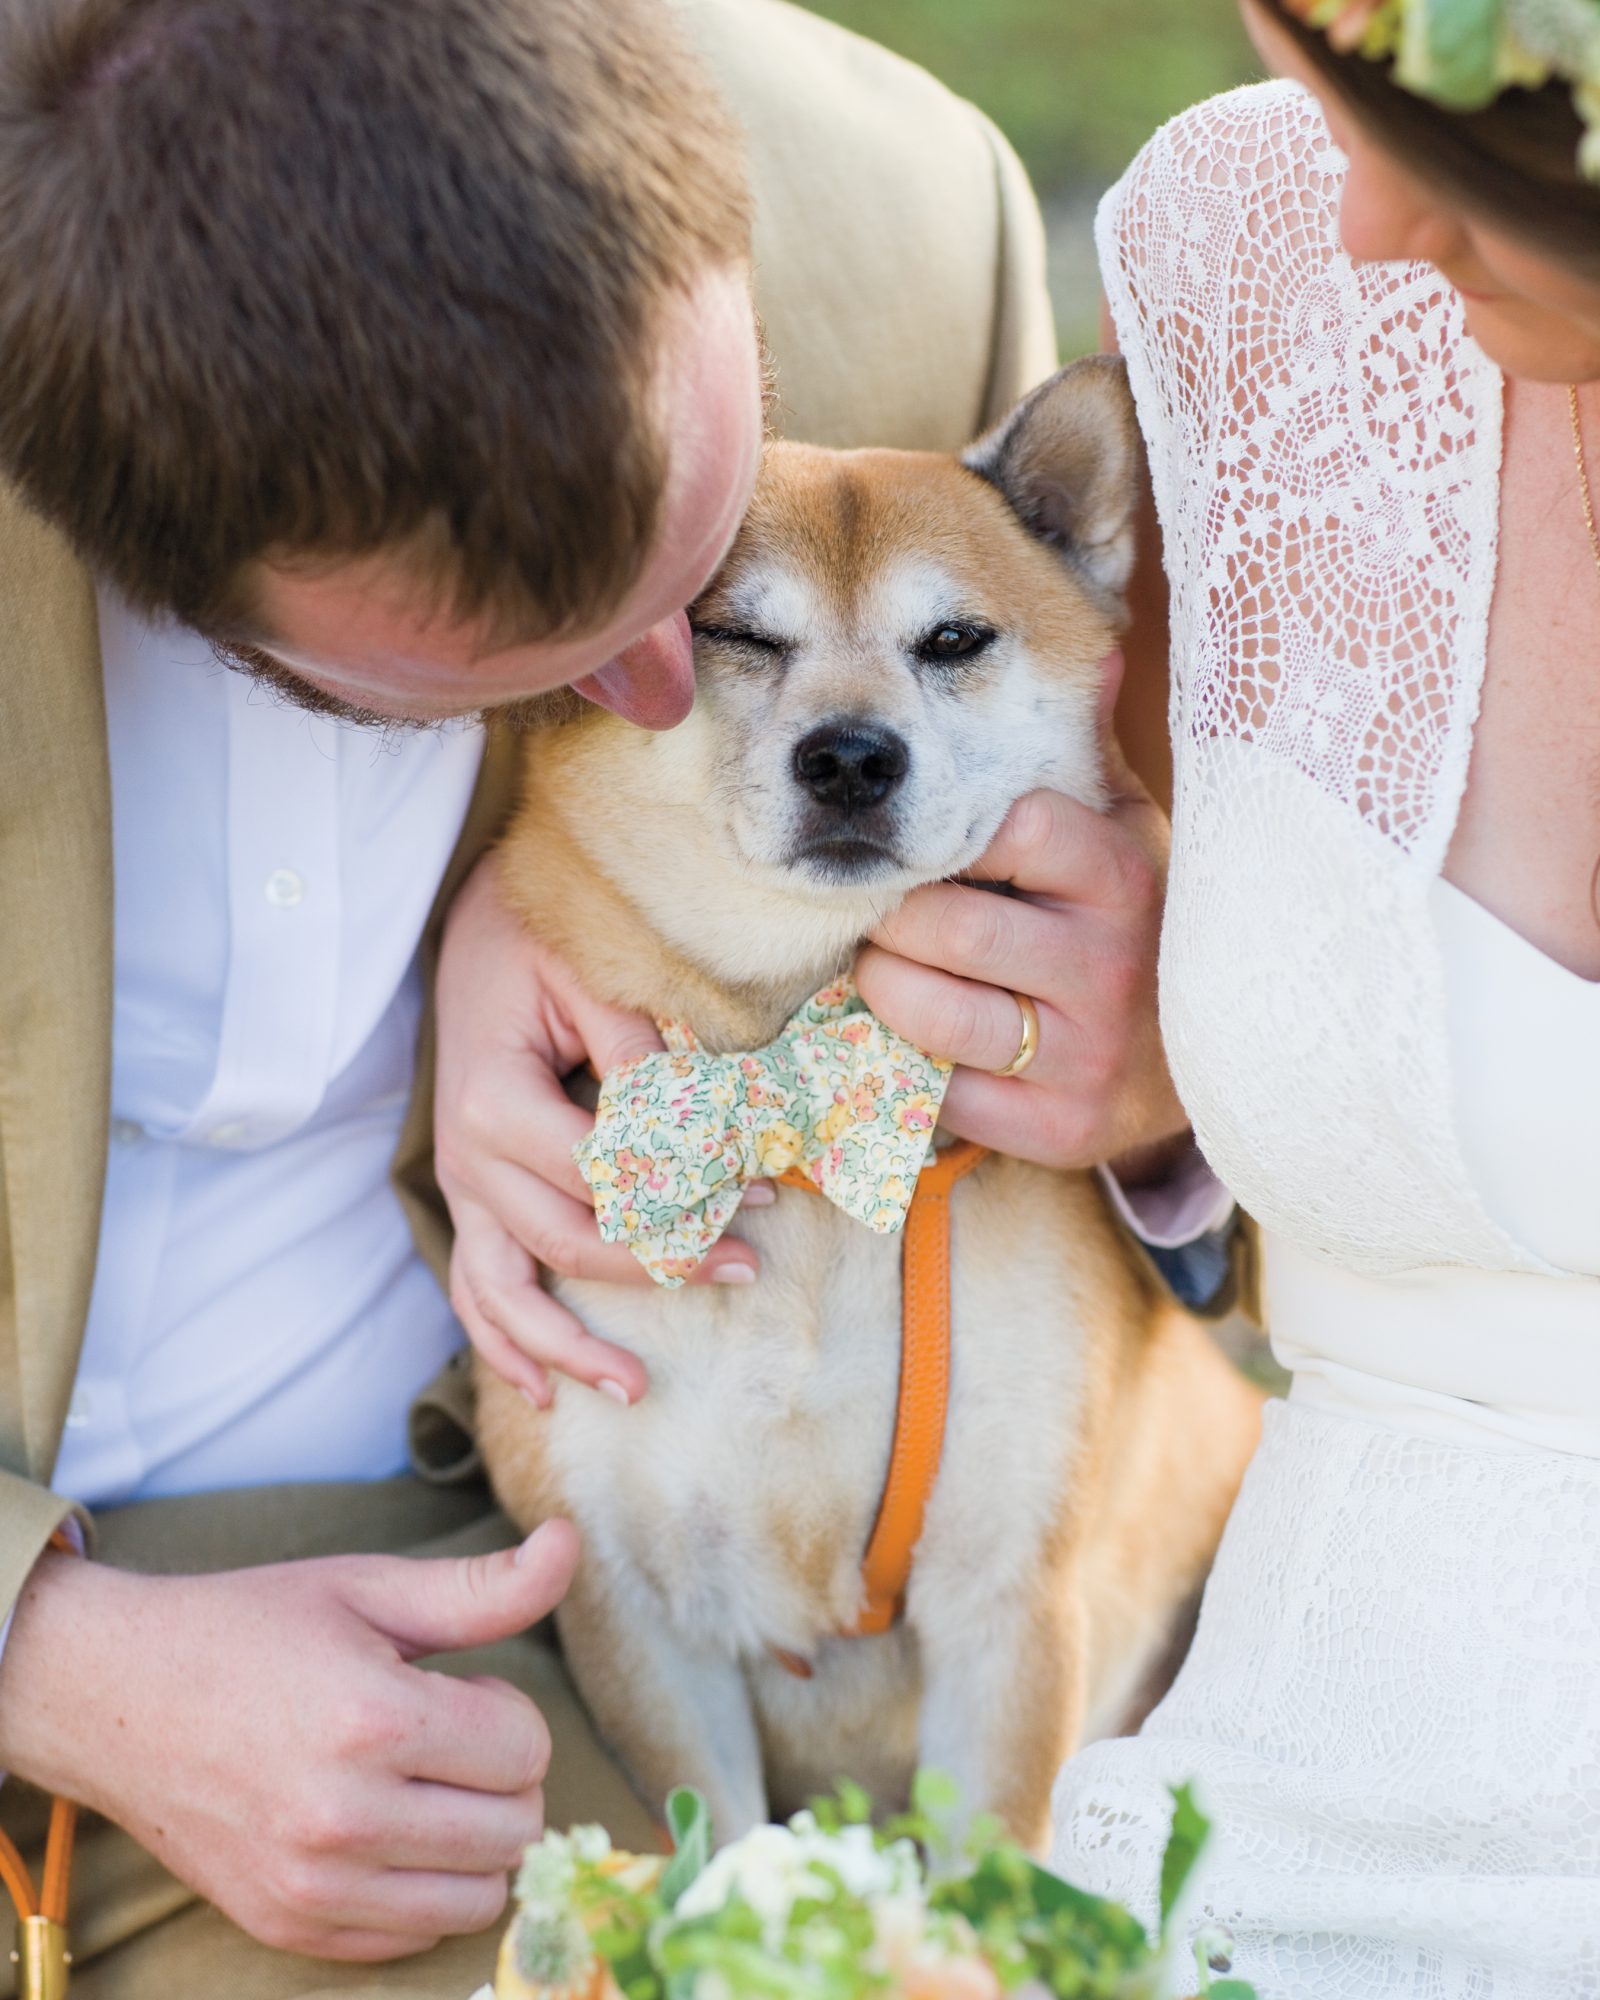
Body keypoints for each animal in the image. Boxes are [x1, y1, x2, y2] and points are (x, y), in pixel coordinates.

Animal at [476, 356, 1264, 1840]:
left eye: (953, 640)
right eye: (735, 634)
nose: (850, 756)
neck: (798, 1126)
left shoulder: (1008, 1605)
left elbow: (983, 1860)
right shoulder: (630, 1608)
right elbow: (714, 1847)